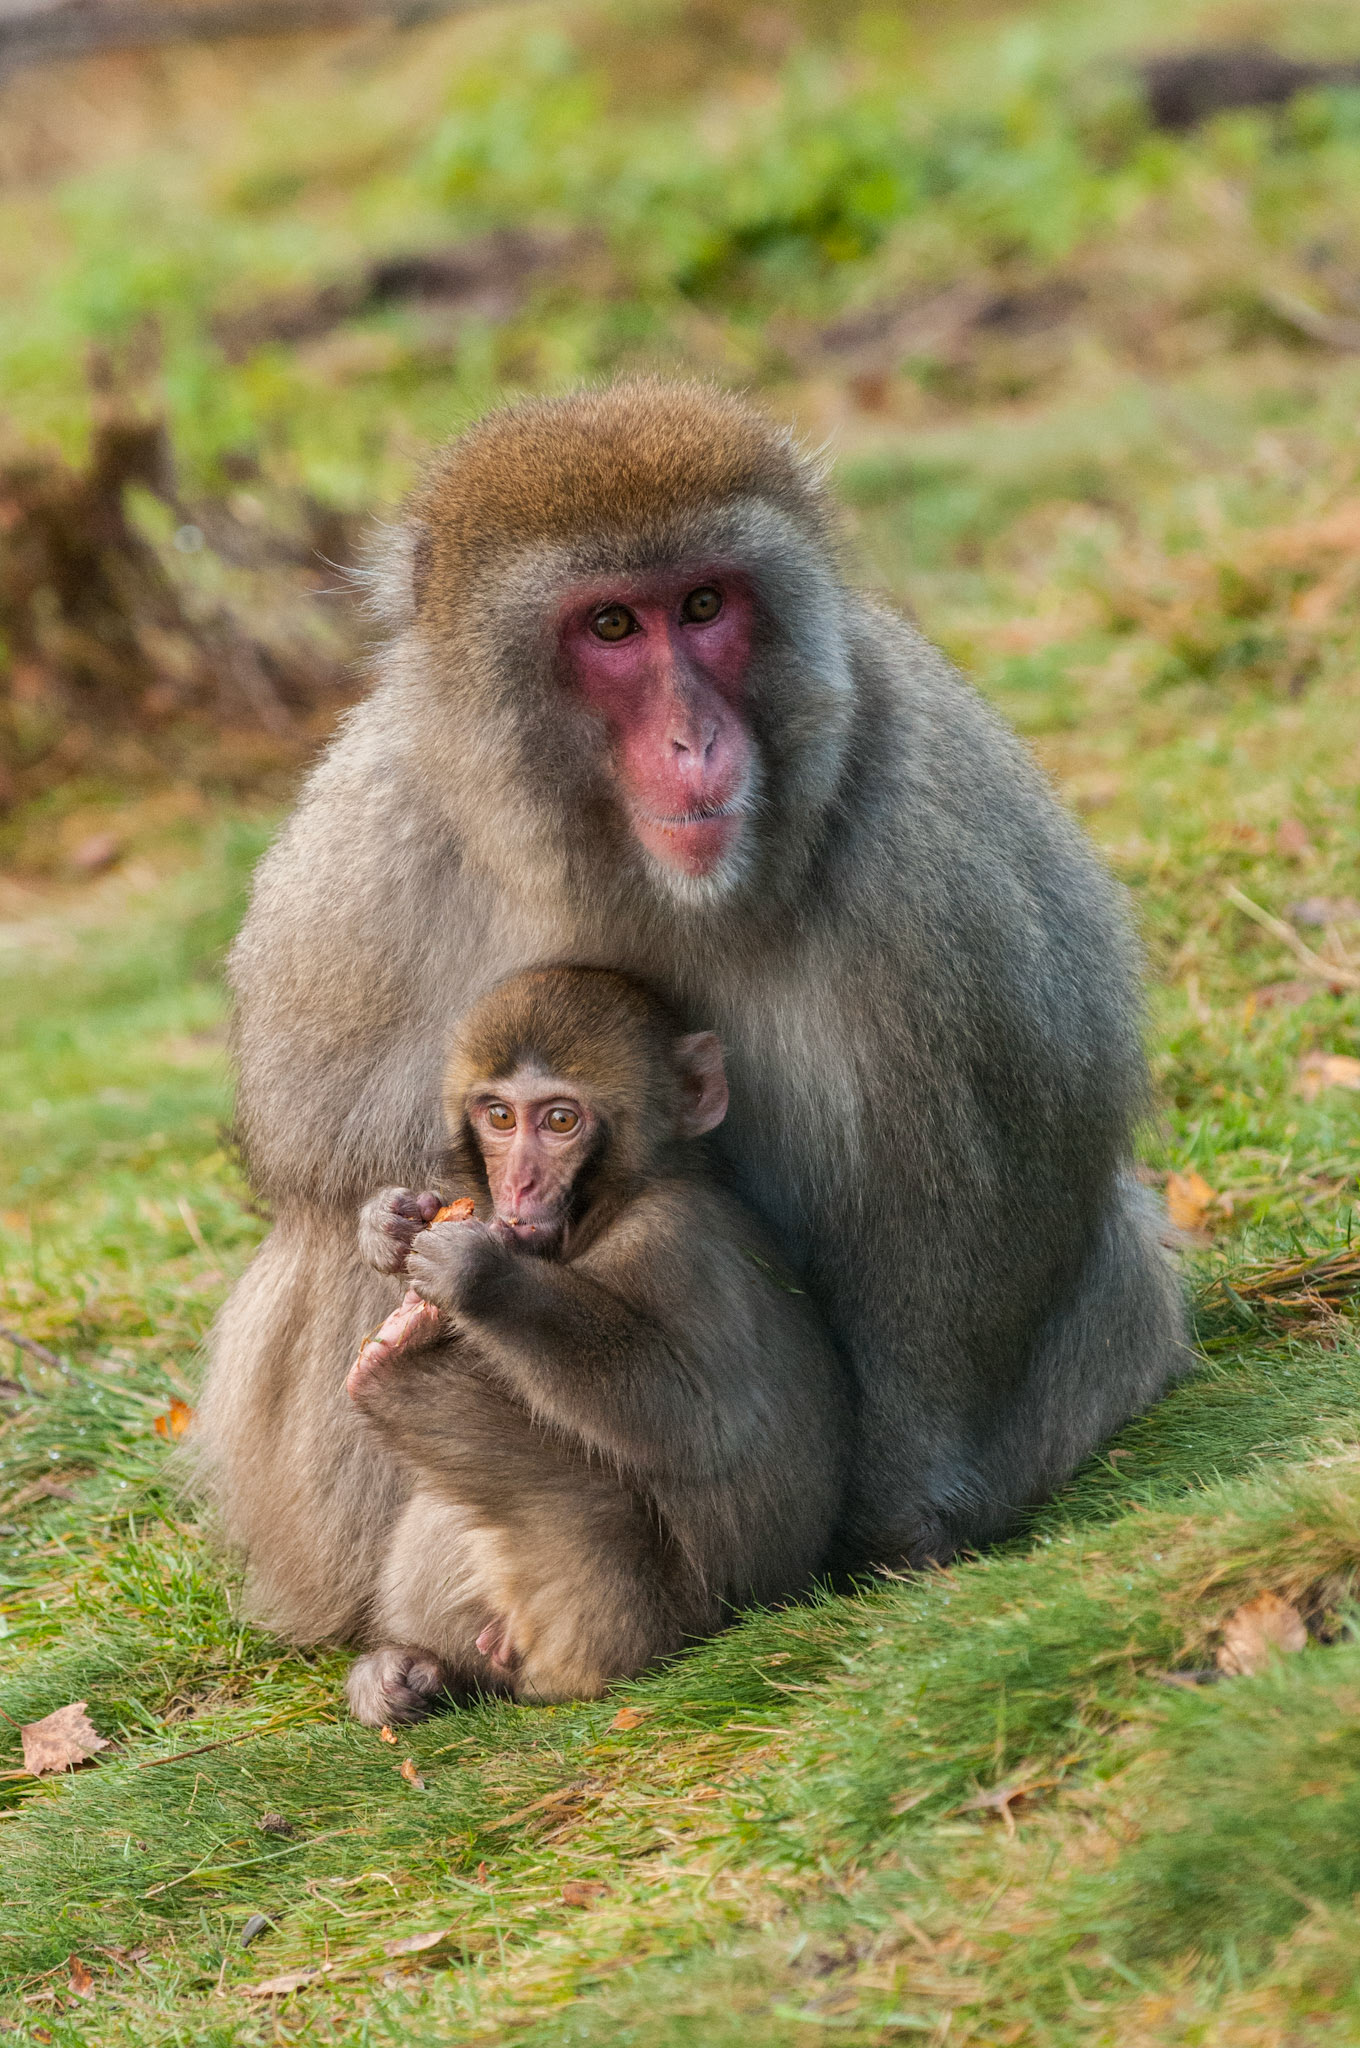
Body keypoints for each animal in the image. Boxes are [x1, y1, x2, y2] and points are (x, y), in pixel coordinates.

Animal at [339, 965, 848, 1724]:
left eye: (560, 1121)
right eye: (499, 1117)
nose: (517, 1185)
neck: (609, 1210)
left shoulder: (673, 1242)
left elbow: (692, 1419)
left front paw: (481, 1276)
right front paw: (389, 1221)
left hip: (642, 1621)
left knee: (584, 1499)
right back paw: (414, 1669)